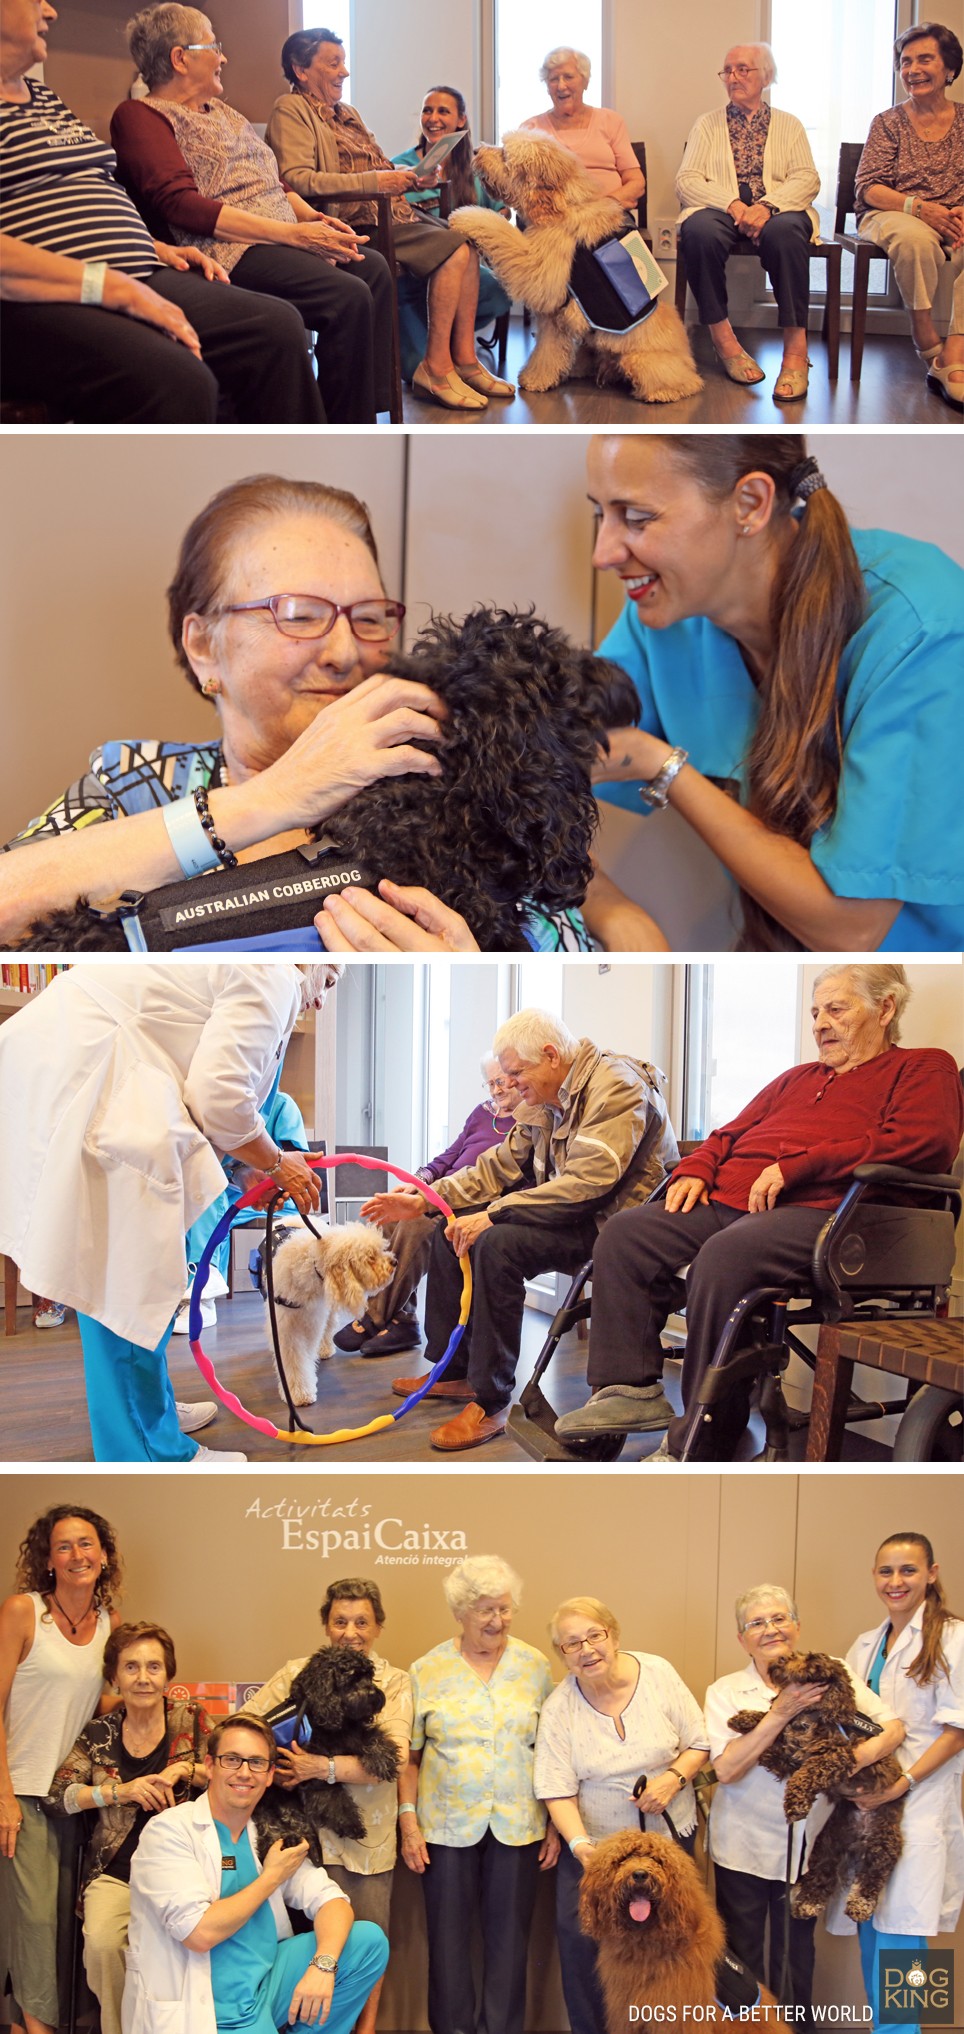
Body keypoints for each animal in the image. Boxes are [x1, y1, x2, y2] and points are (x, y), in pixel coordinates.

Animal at [252, 1643, 398, 1863]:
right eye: (352, 1677)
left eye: (369, 1675)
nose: (374, 1694)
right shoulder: (314, 1774)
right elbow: (334, 1797)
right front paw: (351, 1824)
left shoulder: (352, 1734)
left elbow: (372, 1737)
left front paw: (384, 1757)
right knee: (268, 1833)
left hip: (289, 1805)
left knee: (294, 1824)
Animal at [447, 132, 703, 404]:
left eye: (505, 154)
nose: (476, 151)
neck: (560, 205)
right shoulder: (554, 312)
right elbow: (547, 349)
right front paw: (536, 377)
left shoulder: (537, 269)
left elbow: (501, 230)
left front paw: (466, 216)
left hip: (640, 360)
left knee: (683, 381)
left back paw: (664, 391)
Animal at [728, 1643, 907, 1911]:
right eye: (796, 1654)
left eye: (811, 1662)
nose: (782, 1657)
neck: (810, 1715)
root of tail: (859, 1839)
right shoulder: (788, 1757)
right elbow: (770, 1730)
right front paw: (745, 1718)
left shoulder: (839, 1755)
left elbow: (807, 1773)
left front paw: (795, 1805)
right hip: (829, 1840)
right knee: (824, 1872)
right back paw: (808, 1903)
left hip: (884, 1839)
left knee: (874, 1873)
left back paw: (860, 1905)